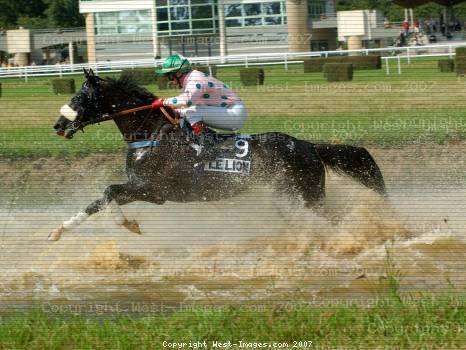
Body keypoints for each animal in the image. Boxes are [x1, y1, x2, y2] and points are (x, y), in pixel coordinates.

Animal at [50, 70, 386, 241]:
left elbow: (108, 193)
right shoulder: (144, 189)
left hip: (305, 194)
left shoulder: (154, 190)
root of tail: (308, 146)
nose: (58, 125)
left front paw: (128, 224)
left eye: (80, 97)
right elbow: (99, 201)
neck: (151, 135)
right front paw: (57, 231)